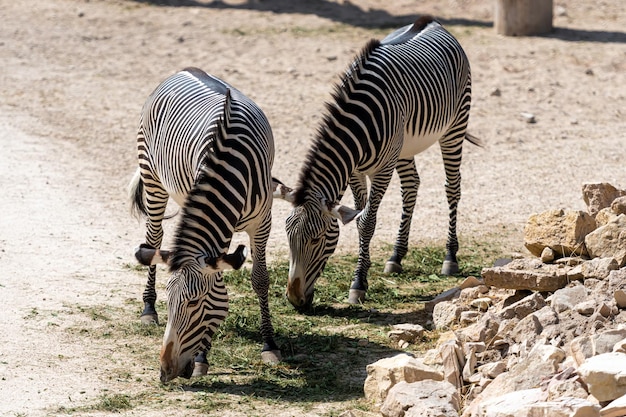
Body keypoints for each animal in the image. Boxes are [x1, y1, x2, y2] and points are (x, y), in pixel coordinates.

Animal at [128, 66, 280, 382]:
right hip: (152, 177)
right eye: (171, 303)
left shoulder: (263, 221)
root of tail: (185, 69)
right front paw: (202, 358)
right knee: (154, 238)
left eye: (194, 303)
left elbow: (260, 279)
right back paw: (148, 308)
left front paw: (270, 344)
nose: (164, 372)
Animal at [276, 16, 480, 308]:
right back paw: (396, 256)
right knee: (411, 186)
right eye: (287, 237)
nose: (294, 299)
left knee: (452, 187)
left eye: (316, 239)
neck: (357, 127)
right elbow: (359, 217)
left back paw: (450, 257)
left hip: (455, 125)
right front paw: (365, 271)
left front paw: (358, 283)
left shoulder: (382, 170)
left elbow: (366, 222)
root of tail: (431, 21)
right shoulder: (355, 172)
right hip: (404, 146)